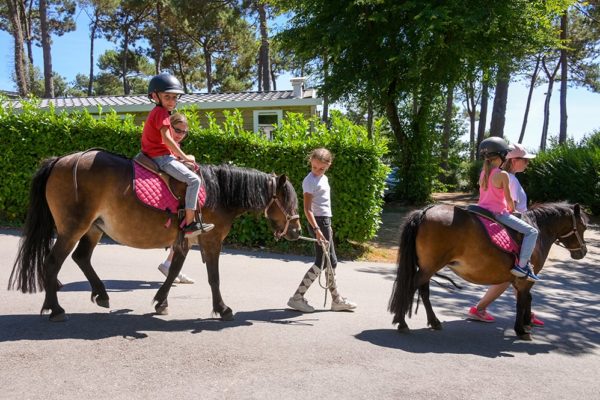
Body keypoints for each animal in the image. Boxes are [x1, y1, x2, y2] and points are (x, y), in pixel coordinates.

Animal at [8, 150, 300, 322]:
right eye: (288, 201)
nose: (297, 231)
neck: (218, 191)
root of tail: (59, 160)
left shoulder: (185, 241)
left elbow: (173, 272)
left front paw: (161, 302)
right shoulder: (211, 240)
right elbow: (214, 277)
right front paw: (222, 308)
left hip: (93, 228)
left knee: (81, 258)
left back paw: (100, 295)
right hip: (72, 228)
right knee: (52, 263)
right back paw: (55, 309)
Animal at [386, 203, 588, 340]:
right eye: (584, 227)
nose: (583, 252)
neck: (538, 230)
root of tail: (425, 211)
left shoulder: (519, 280)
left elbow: (526, 299)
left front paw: (527, 322)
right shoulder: (525, 280)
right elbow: (522, 301)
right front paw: (521, 329)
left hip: (428, 267)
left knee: (423, 291)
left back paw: (434, 321)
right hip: (430, 267)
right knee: (411, 287)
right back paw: (402, 322)